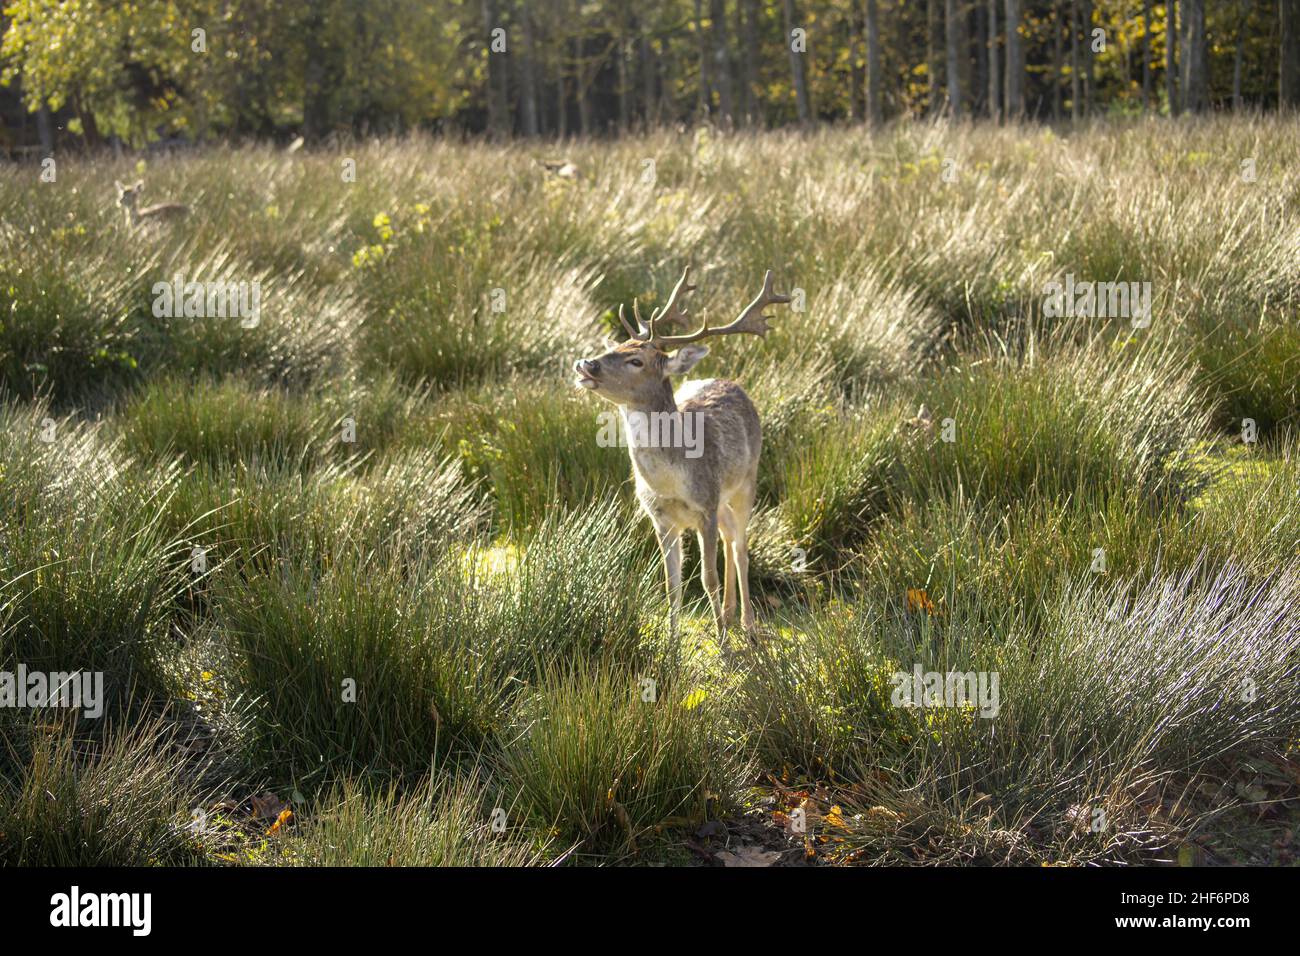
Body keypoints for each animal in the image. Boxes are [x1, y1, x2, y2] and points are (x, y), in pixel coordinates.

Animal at [573, 267, 791, 642]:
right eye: (616, 345)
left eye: (636, 360)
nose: (586, 364)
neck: (670, 482)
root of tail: (732, 382)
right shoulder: (660, 517)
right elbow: (671, 584)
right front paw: (673, 642)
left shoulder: (704, 506)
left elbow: (707, 578)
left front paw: (723, 643)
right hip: (722, 501)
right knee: (730, 536)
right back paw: (730, 615)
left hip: (746, 482)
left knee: (741, 547)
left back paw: (747, 626)